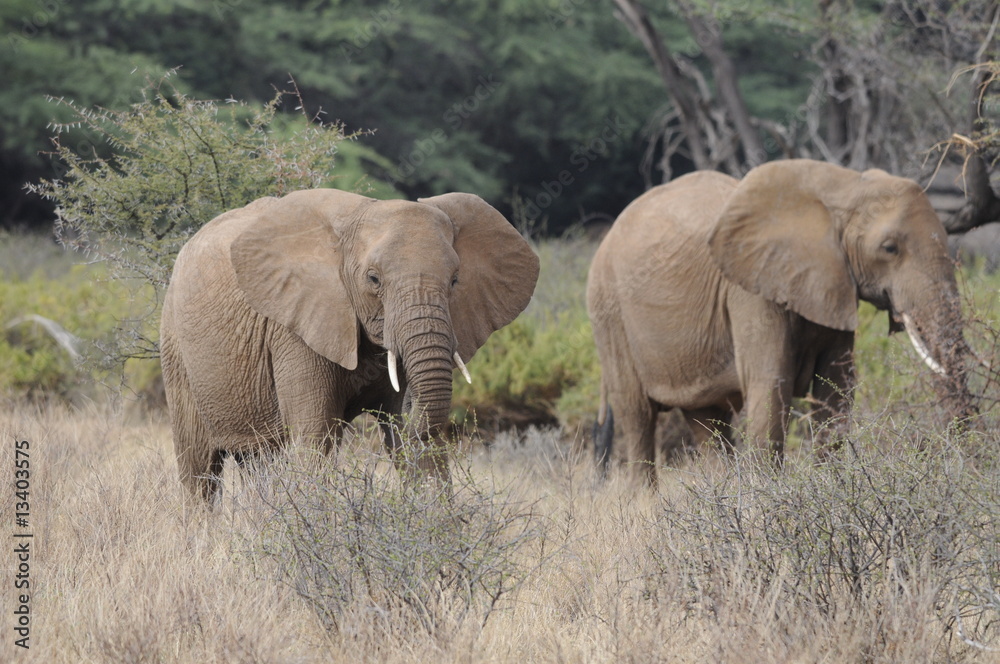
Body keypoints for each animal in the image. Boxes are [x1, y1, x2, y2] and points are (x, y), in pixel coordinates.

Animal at [160, 189, 540, 500]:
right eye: (373, 279)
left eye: (456, 280)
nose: (410, 413)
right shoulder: (294, 329)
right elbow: (314, 441)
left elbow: (415, 451)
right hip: (175, 349)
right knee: (199, 472)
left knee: (258, 463)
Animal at [584, 161, 976, 482]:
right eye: (890, 248)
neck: (843, 187)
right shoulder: (750, 291)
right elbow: (771, 386)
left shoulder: (834, 285)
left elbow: (836, 390)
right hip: (608, 309)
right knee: (636, 415)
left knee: (707, 422)